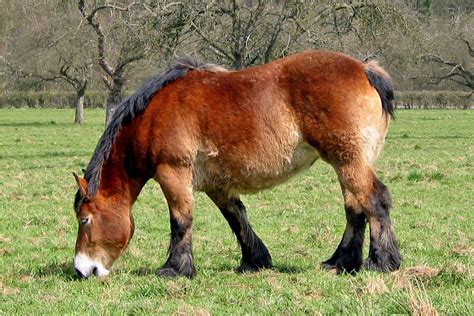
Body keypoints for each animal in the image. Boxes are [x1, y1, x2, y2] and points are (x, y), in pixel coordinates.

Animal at [72, 50, 402, 278]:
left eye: (84, 220)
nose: (81, 269)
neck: (153, 115)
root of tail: (365, 69)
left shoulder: (173, 175)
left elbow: (181, 221)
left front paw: (175, 269)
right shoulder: (217, 186)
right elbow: (237, 219)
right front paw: (254, 261)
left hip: (349, 162)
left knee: (375, 200)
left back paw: (380, 262)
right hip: (347, 164)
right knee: (355, 208)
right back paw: (340, 262)